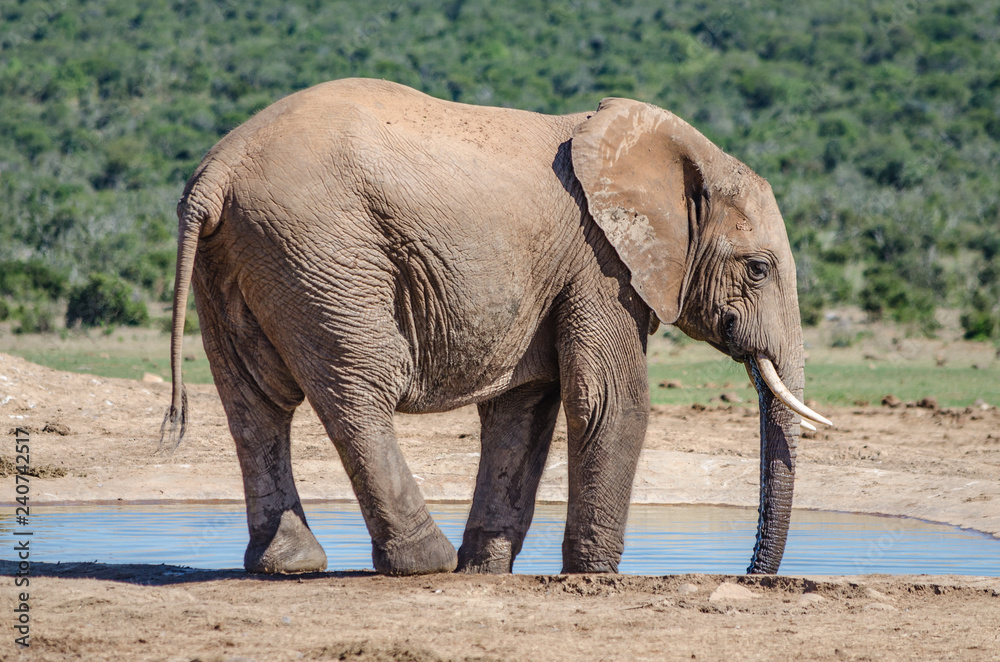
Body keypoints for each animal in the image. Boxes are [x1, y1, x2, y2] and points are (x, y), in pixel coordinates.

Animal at [162, 76, 828, 576]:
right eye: (759, 269)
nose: (750, 573)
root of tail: (217, 172)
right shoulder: (599, 260)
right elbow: (609, 399)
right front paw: (590, 576)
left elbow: (525, 405)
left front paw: (485, 570)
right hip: (322, 249)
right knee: (358, 387)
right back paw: (422, 563)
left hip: (241, 257)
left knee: (254, 401)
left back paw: (289, 565)